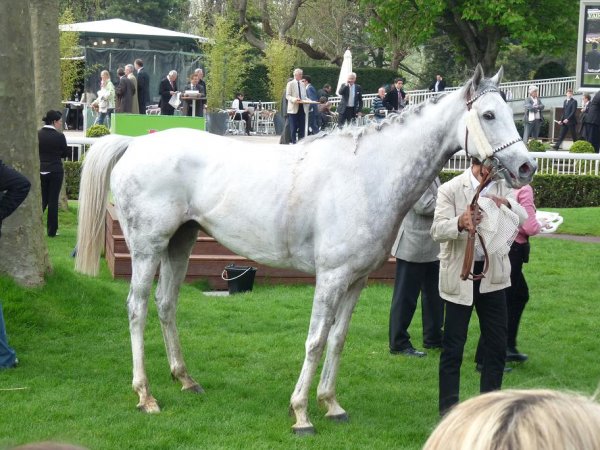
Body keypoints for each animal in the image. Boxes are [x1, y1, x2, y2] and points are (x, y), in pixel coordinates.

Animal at [74, 65, 536, 434]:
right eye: (489, 114)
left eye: (511, 113)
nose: (526, 167)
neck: (367, 173)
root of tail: (134, 144)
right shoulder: (330, 278)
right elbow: (315, 340)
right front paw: (301, 413)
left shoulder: (356, 281)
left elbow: (338, 339)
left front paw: (331, 404)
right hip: (147, 247)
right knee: (137, 308)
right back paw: (145, 395)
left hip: (180, 244)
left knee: (167, 304)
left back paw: (186, 379)